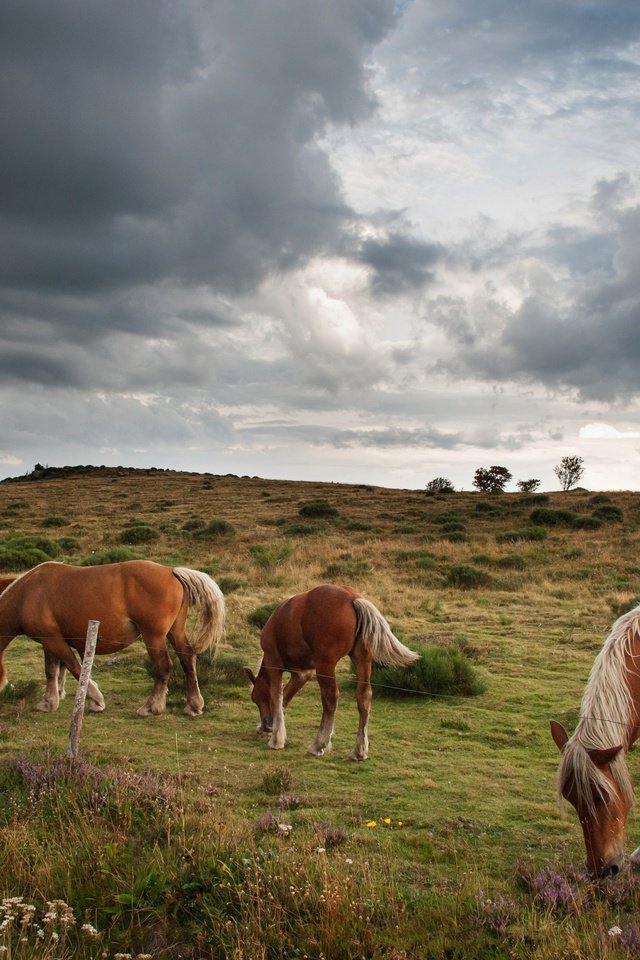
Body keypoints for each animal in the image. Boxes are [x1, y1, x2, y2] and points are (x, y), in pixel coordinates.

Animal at [0, 560, 225, 716]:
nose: (6, 688)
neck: (28, 593)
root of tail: (171, 571)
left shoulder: (54, 641)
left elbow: (74, 667)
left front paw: (96, 701)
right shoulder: (49, 641)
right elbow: (51, 671)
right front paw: (49, 702)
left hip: (154, 636)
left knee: (163, 666)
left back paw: (151, 707)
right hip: (175, 632)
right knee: (187, 658)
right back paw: (194, 705)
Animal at [245, 580, 420, 760]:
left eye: (255, 698)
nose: (266, 724)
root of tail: (353, 598)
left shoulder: (274, 664)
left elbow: (277, 696)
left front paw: (276, 739)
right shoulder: (302, 674)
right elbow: (286, 697)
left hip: (326, 665)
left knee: (330, 698)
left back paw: (319, 744)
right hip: (362, 659)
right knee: (364, 696)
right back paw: (359, 750)